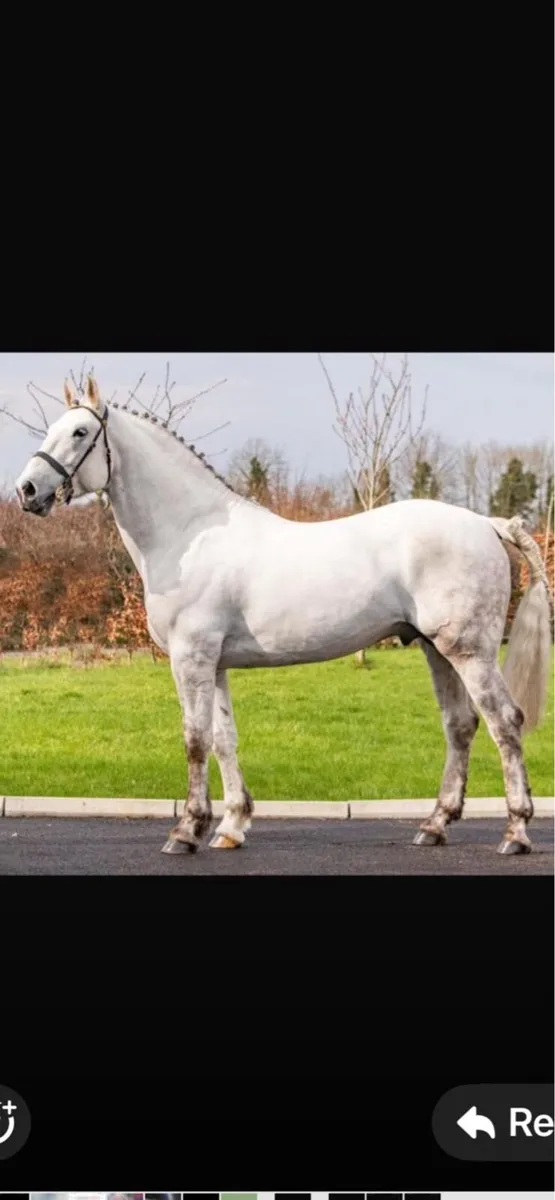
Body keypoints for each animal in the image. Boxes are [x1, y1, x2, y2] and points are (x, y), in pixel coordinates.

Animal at [14, 375, 552, 858]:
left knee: (505, 722)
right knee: (460, 725)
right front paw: (231, 826)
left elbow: (194, 739)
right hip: (436, 649)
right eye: (51, 428)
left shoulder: (191, 659)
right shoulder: (215, 664)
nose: (27, 490)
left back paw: (515, 833)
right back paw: (435, 825)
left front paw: (186, 831)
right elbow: (223, 739)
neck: (189, 534)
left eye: (80, 431)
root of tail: (486, 523)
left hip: (470, 652)